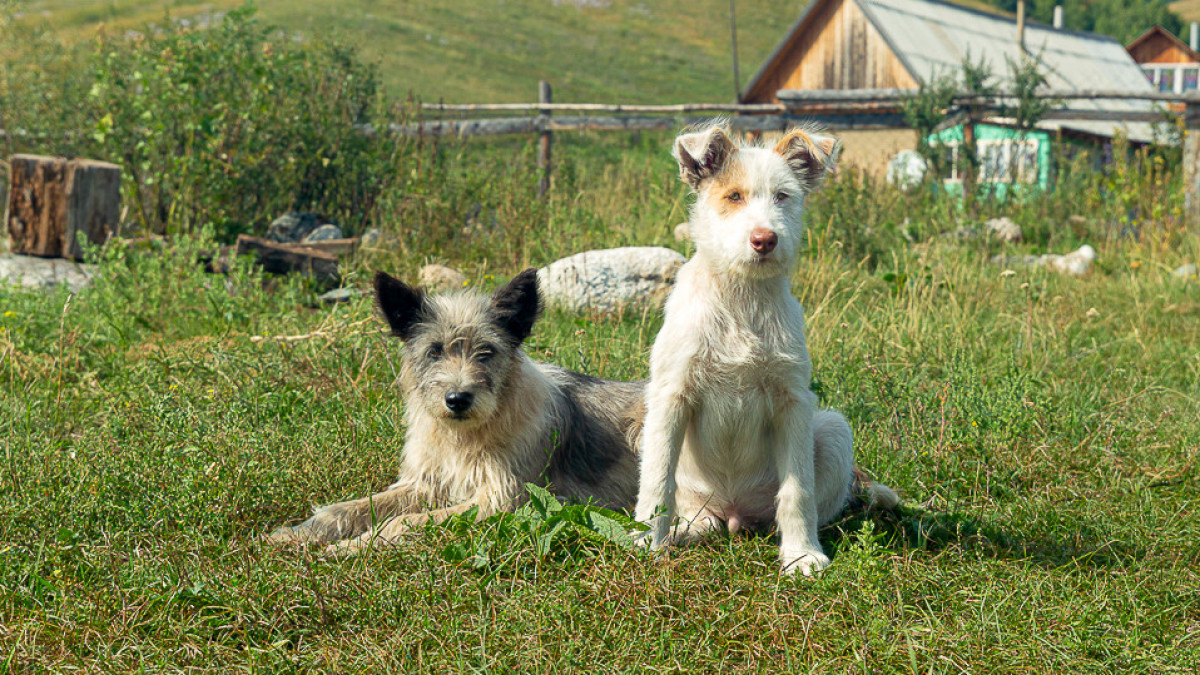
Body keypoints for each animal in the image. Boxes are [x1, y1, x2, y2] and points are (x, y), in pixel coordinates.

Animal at [270, 266, 648, 552]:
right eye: (434, 350)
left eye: (487, 352)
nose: (457, 399)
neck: (463, 436)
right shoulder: (424, 484)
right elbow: (345, 510)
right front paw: (295, 535)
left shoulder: (504, 499)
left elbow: (402, 522)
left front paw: (354, 546)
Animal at [633, 120, 897, 571]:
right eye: (733, 197)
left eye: (783, 197)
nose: (765, 240)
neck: (742, 297)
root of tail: (733, 513)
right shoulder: (670, 395)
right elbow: (657, 480)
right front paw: (644, 541)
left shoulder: (793, 401)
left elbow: (798, 490)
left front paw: (802, 555)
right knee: (694, 512)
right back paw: (680, 532)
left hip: (833, 428)